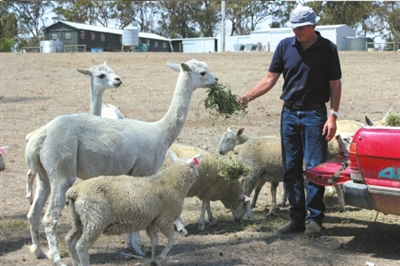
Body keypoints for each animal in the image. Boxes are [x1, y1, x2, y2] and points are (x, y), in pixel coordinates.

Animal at [66, 151, 205, 266]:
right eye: (195, 166)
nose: (199, 176)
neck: (173, 184)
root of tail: (75, 191)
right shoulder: (164, 219)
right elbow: (172, 239)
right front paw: (160, 259)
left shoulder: (151, 222)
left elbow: (154, 241)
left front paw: (153, 260)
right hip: (95, 219)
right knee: (81, 247)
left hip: (79, 220)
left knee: (69, 240)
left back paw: (75, 262)